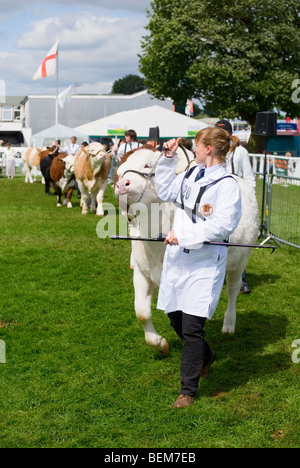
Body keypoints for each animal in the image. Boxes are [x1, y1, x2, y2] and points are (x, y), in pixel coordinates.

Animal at [115, 146, 260, 354]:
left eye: (147, 165)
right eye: (120, 172)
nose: (121, 184)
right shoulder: (143, 272)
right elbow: (141, 312)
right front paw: (160, 343)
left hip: (240, 261)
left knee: (232, 290)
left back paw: (229, 324)